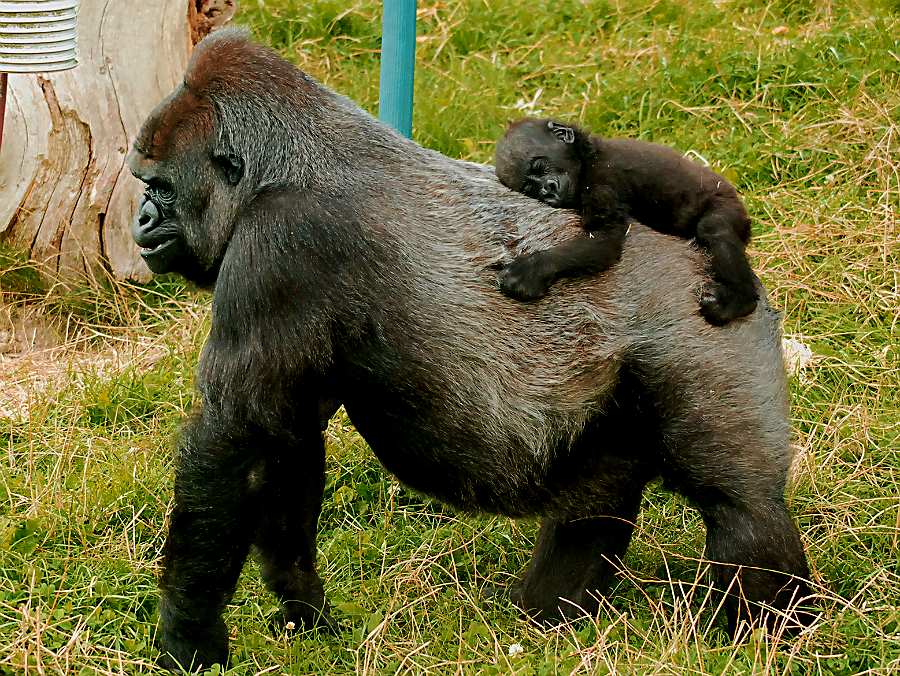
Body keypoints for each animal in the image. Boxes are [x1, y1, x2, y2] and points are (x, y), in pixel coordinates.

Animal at [494, 118, 759, 326]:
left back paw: (741, 300)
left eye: (540, 165)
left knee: (715, 231)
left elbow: (605, 239)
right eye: (530, 188)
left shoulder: (604, 179)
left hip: (726, 202)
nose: (548, 189)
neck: (588, 156)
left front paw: (533, 269)